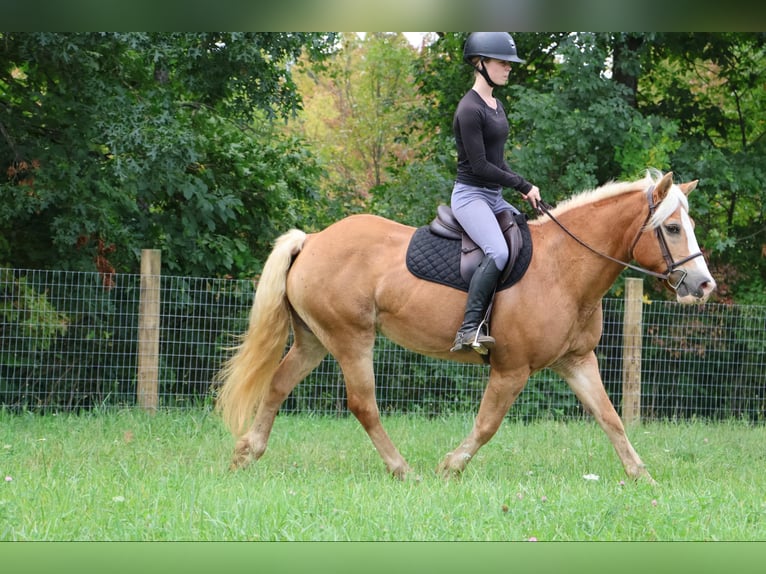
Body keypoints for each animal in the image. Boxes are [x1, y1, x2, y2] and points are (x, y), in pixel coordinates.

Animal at [216, 169, 720, 484]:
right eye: (672, 228)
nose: (703, 284)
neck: (563, 267)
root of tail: (313, 240)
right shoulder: (512, 370)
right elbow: (487, 424)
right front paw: (450, 467)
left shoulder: (576, 362)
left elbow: (610, 418)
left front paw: (643, 478)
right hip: (350, 339)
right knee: (363, 405)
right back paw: (403, 470)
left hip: (313, 341)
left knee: (278, 384)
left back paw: (246, 453)